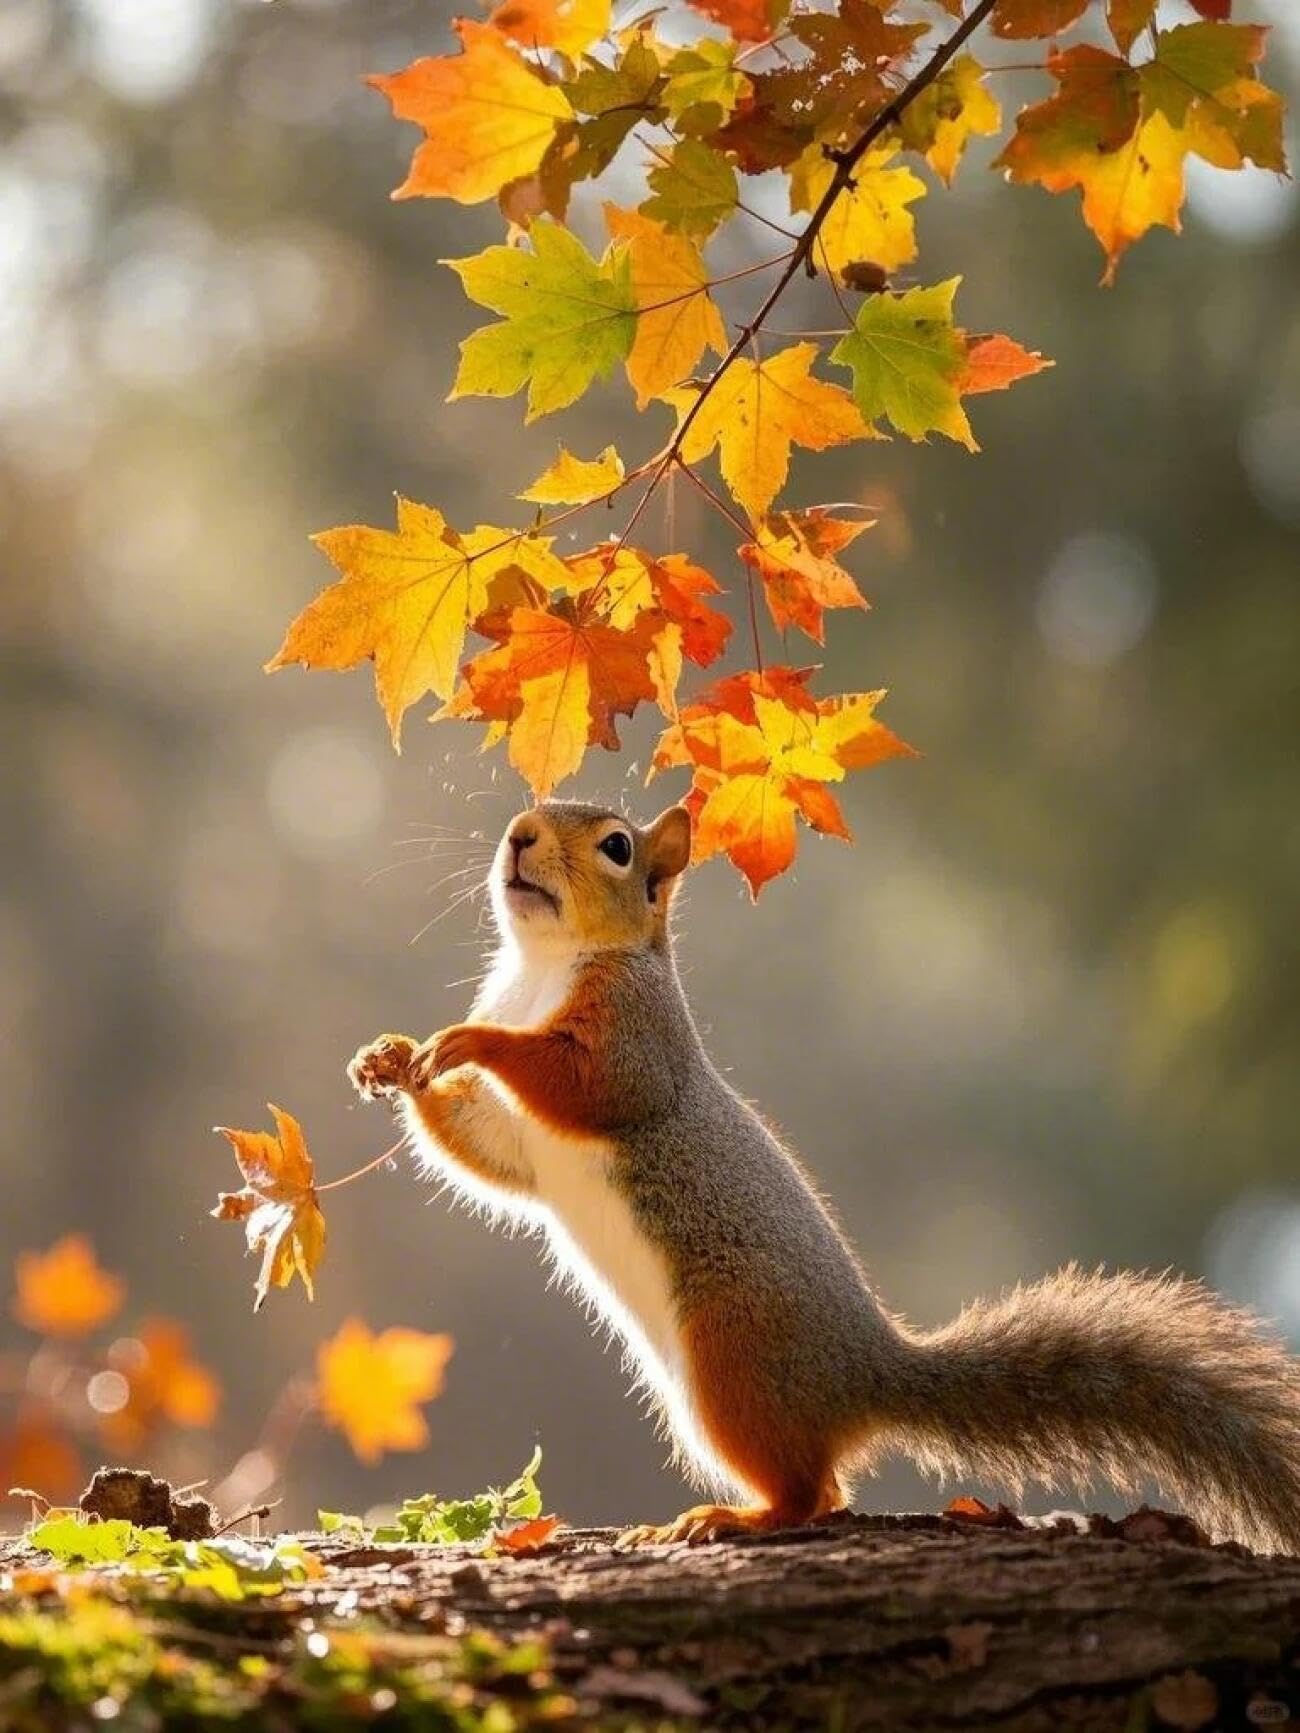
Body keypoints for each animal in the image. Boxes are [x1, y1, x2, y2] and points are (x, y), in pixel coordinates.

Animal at [350, 801, 1300, 1551]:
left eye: (616, 845)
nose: (519, 835)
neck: (546, 966)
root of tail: (864, 1369)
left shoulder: (636, 1040)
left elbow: (589, 1084)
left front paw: (471, 1043)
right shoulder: (516, 1137)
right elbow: (490, 1154)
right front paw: (391, 1058)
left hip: (732, 1359)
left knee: (813, 1493)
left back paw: (731, 1517)